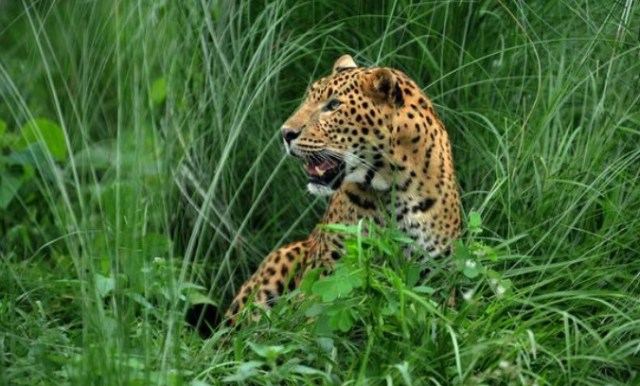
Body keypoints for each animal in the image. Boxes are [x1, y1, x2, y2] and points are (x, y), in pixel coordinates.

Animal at [222, 54, 458, 326]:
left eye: (333, 105)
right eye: (307, 98)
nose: (285, 133)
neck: (393, 188)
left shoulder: (438, 274)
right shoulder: (329, 272)